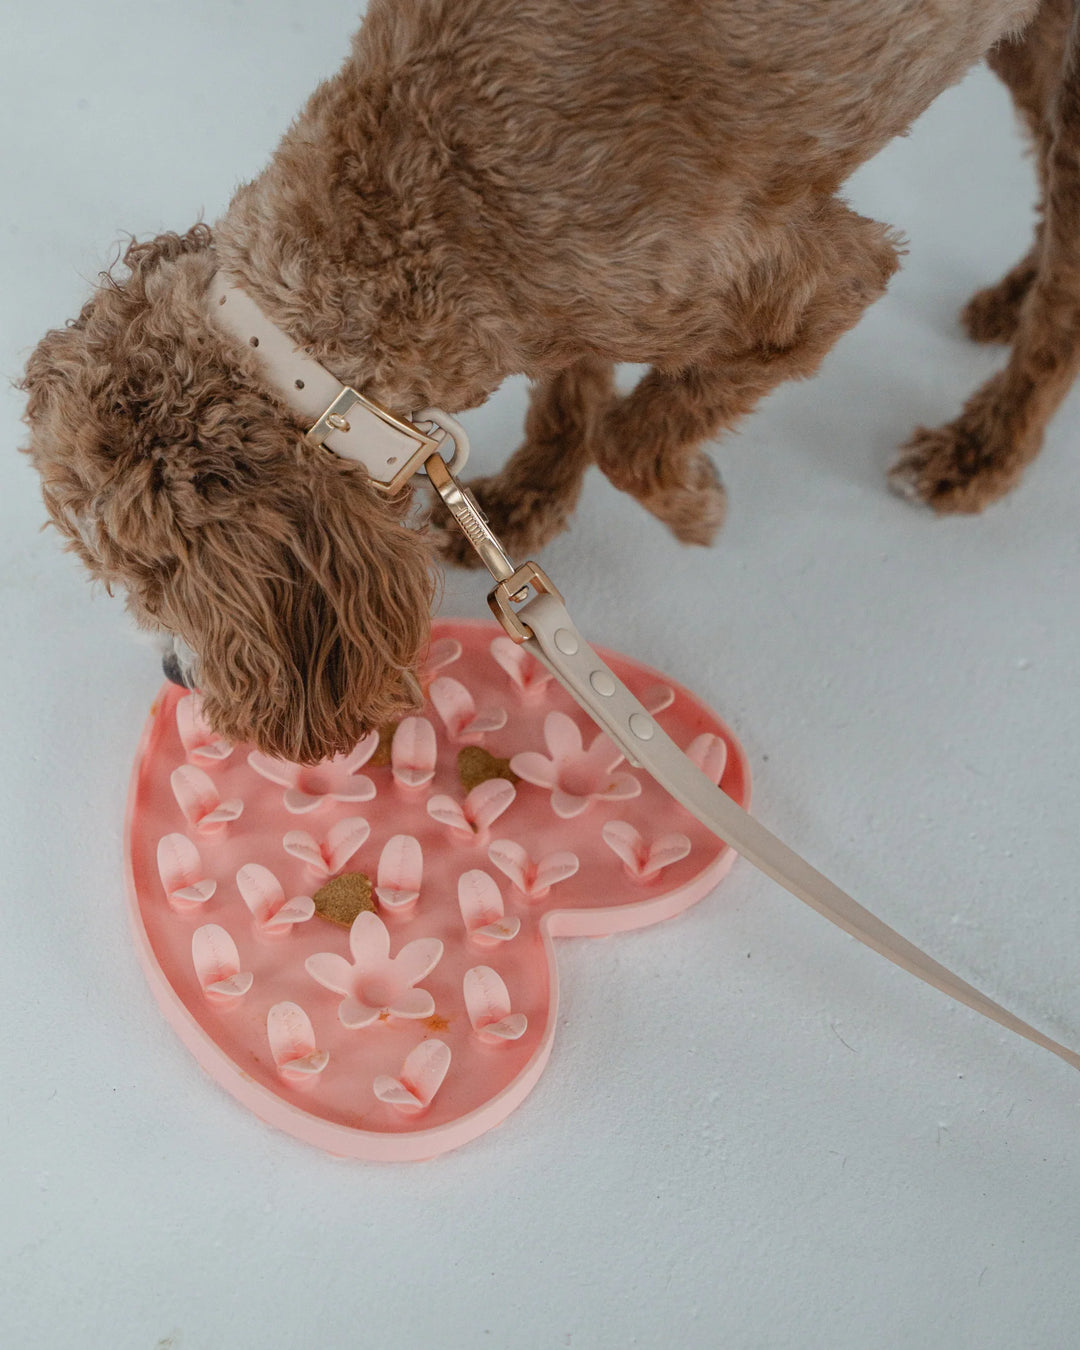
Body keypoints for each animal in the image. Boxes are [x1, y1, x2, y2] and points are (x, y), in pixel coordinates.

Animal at [18, 0, 1080, 761]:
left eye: (152, 577)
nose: (174, 676)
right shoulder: (557, 295)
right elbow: (574, 384)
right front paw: (527, 501)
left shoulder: (818, 280)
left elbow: (633, 433)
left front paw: (695, 505)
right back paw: (1007, 296)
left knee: (1067, 278)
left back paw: (983, 445)